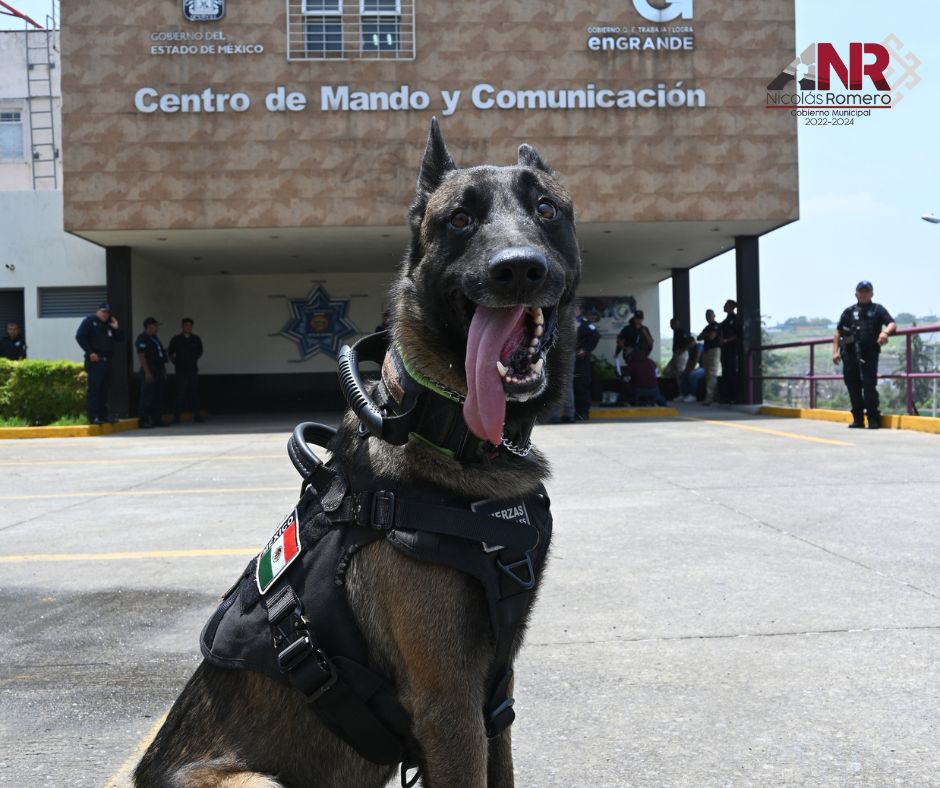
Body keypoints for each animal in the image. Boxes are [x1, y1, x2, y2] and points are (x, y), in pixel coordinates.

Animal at [134, 118, 580, 788]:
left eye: (546, 208)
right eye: (460, 220)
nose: (519, 270)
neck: (448, 434)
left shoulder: (494, 695)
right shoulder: (451, 705)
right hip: (256, 781)